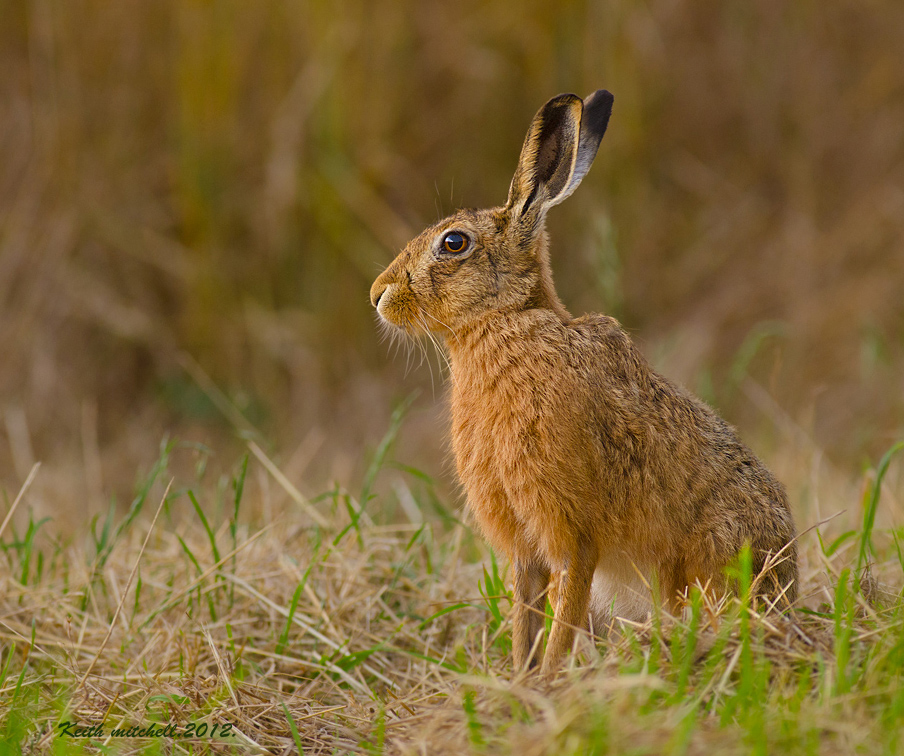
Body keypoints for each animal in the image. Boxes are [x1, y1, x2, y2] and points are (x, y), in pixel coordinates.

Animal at [370, 89, 798, 674]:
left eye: (453, 243)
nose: (377, 294)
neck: (505, 322)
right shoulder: (523, 542)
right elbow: (526, 613)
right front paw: (520, 679)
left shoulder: (573, 530)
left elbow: (564, 611)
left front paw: (549, 679)